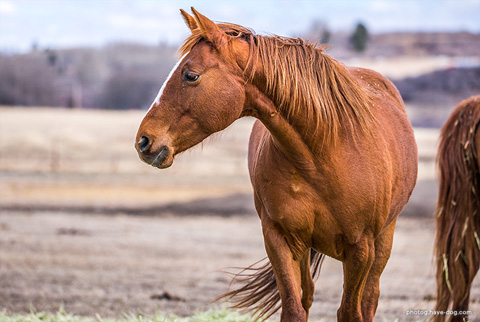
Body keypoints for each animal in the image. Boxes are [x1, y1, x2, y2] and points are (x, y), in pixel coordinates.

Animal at [134, 8, 416, 322]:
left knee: (369, 299)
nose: (144, 140)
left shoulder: (360, 249)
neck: (323, 154)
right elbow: (293, 307)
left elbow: (350, 311)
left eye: (190, 75)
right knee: (308, 294)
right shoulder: (280, 239)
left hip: (382, 241)